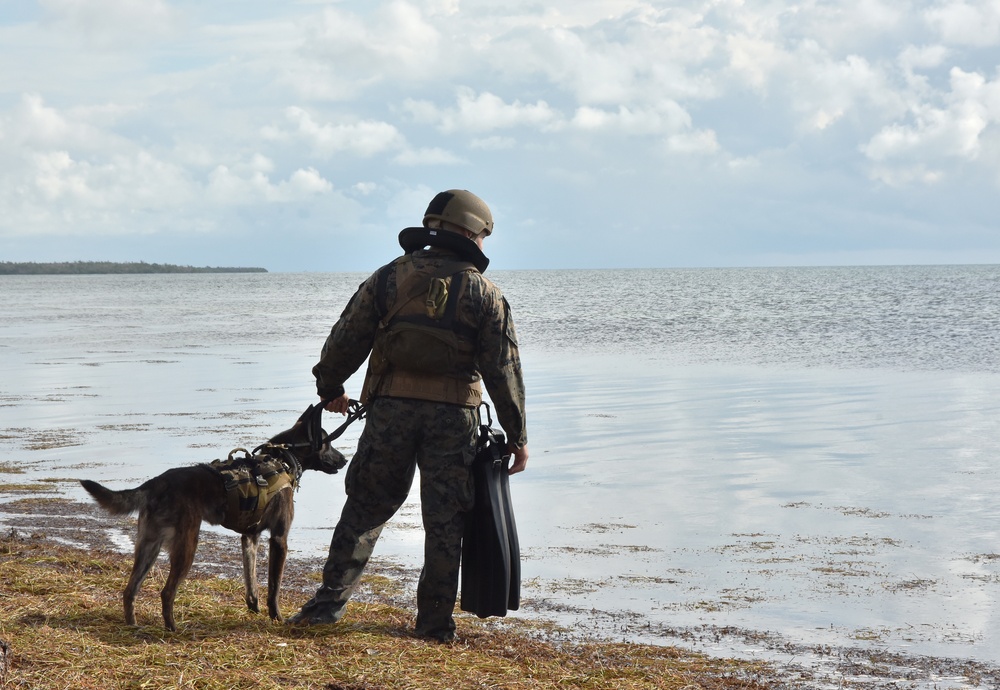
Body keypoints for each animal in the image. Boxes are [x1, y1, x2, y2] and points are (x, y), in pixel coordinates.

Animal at [78, 404, 346, 628]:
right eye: (328, 443)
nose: (344, 459)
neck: (281, 460)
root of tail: (156, 482)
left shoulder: (250, 537)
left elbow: (251, 583)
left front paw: (254, 608)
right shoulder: (279, 539)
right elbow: (273, 587)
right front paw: (277, 617)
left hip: (149, 547)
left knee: (130, 590)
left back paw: (133, 626)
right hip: (186, 546)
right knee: (166, 592)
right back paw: (173, 629)